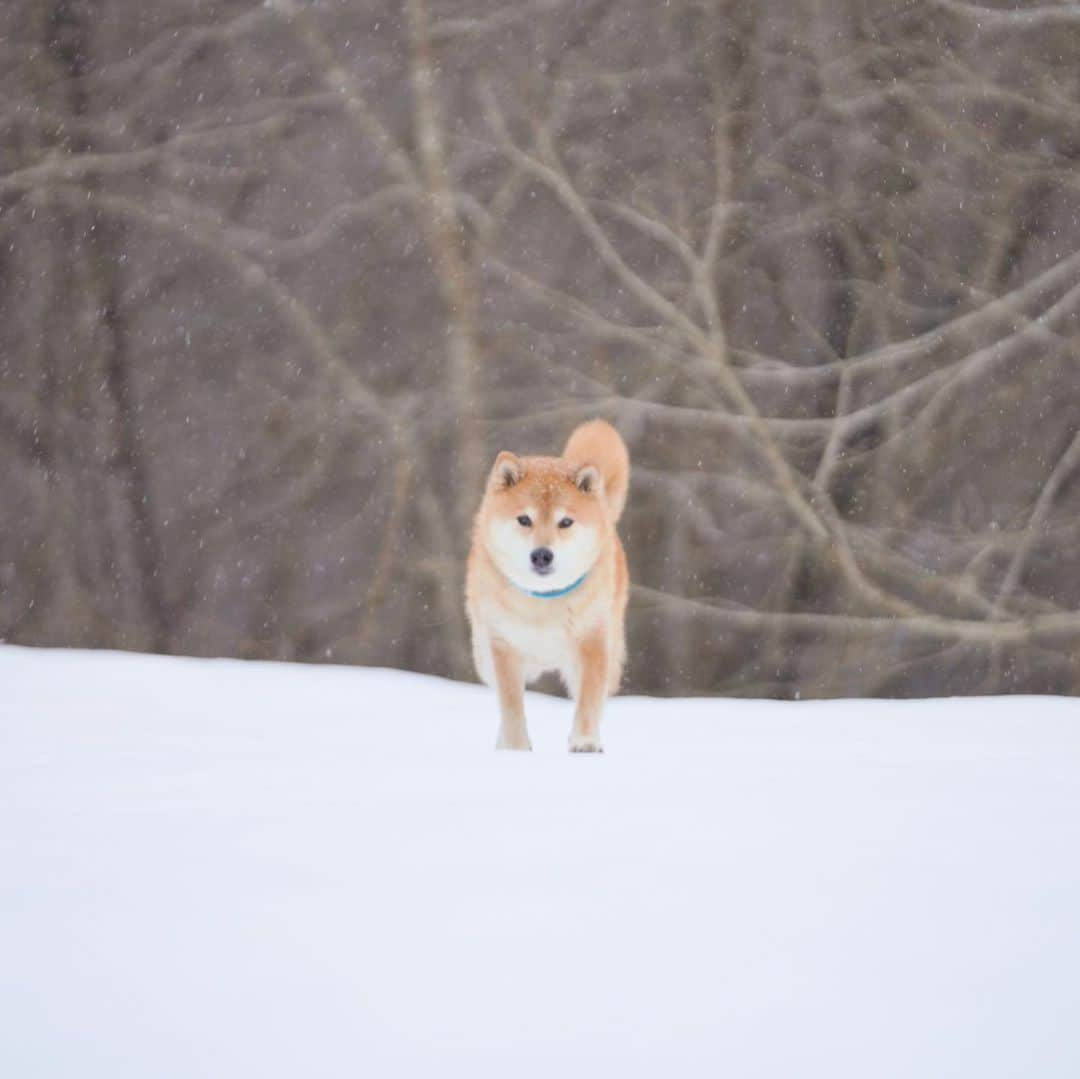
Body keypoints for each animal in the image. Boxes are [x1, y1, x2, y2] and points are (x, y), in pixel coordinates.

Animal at [466, 416, 630, 756]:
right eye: (524, 520)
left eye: (565, 522)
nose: (542, 554)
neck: (544, 604)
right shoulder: (503, 646)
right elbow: (511, 705)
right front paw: (515, 748)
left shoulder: (593, 641)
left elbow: (588, 700)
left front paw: (584, 742)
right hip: (483, 654)